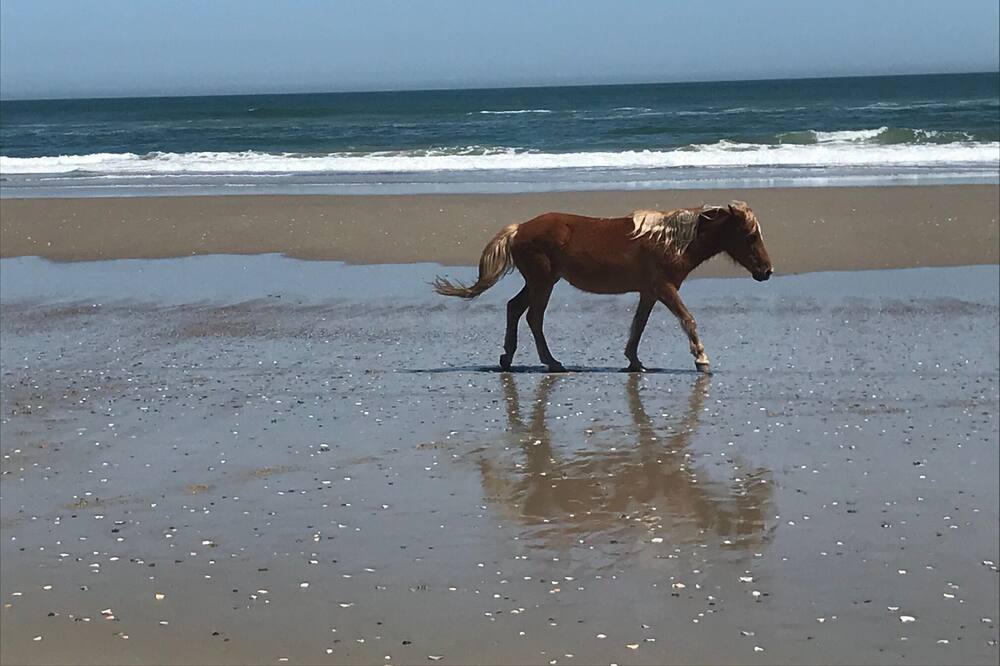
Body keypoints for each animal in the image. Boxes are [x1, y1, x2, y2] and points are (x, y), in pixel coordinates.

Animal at [436, 197, 772, 374]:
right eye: (750, 236)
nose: (767, 271)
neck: (670, 242)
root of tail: (519, 229)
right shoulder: (665, 288)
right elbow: (687, 319)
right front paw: (701, 359)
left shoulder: (649, 292)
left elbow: (638, 326)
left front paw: (634, 361)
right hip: (542, 282)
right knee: (533, 317)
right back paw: (552, 362)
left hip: (540, 281)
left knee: (515, 309)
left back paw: (507, 358)